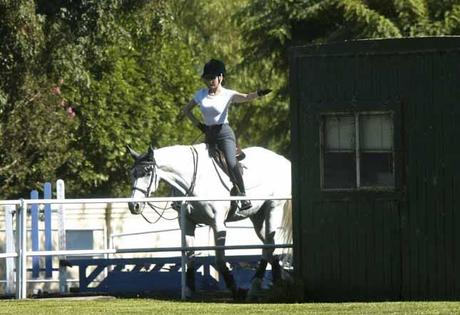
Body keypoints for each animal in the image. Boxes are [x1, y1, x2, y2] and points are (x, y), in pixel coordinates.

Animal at [126, 144, 292, 300]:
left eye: (147, 172)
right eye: (132, 173)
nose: (134, 206)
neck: (194, 180)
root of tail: (283, 160)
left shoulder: (218, 224)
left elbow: (219, 260)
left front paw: (236, 291)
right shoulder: (188, 224)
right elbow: (190, 257)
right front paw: (188, 291)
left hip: (273, 208)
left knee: (268, 246)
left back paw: (257, 287)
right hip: (257, 216)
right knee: (270, 246)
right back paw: (276, 283)